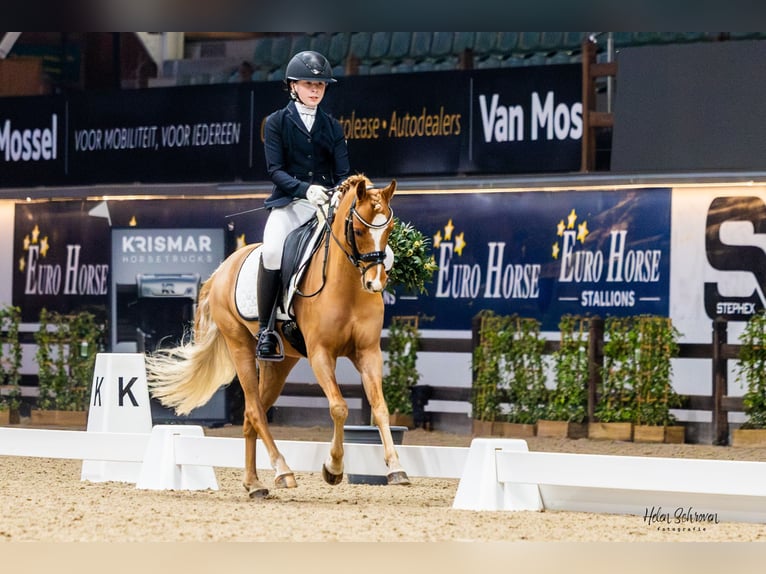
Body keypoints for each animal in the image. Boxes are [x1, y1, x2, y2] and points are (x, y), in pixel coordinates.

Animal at [145, 174, 410, 498]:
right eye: (358, 230)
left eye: (389, 230)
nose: (375, 283)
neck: (347, 286)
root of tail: (223, 268)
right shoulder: (321, 354)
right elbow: (339, 408)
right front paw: (333, 468)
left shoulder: (368, 351)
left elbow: (380, 407)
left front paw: (396, 468)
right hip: (240, 347)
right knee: (255, 410)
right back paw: (283, 471)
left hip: (279, 364)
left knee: (251, 414)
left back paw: (254, 483)